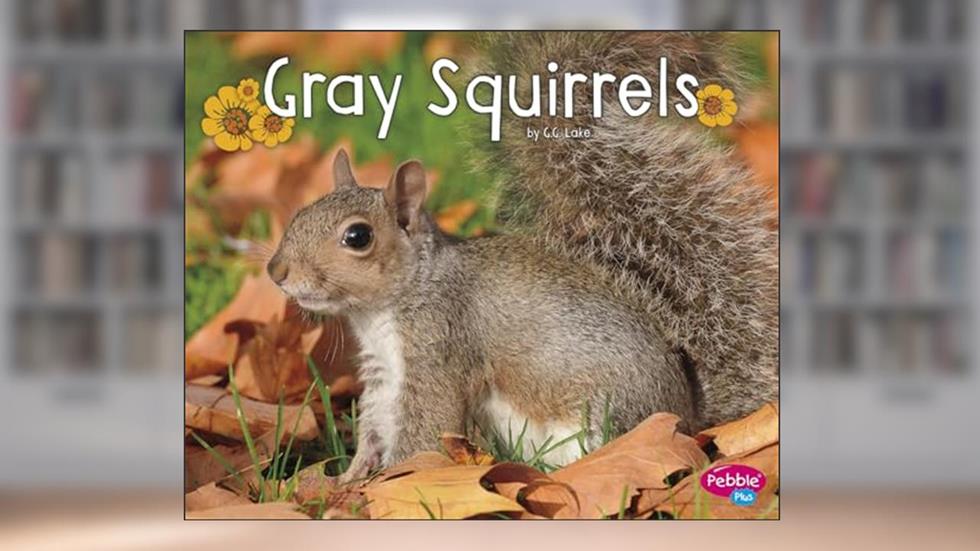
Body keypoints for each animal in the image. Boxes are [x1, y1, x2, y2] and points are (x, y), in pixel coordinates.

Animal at [266, 32, 777, 482]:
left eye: (358, 236)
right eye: (301, 211)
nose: (276, 271)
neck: (397, 298)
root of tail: (690, 421)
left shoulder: (441, 345)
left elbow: (426, 429)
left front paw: (385, 484)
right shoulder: (383, 372)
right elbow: (374, 429)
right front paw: (347, 479)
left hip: (601, 421)